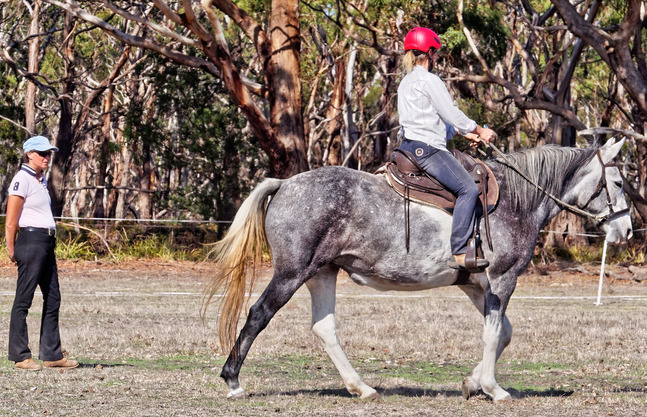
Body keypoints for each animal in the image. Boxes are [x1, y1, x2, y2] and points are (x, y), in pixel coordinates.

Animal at [206, 138, 632, 402]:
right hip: (292, 273)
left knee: (324, 328)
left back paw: (361, 387)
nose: (626, 230)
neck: (516, 199)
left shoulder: (476, 285)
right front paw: (494, 388)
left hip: (322, 272)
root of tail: (285, 183)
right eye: (617, 181)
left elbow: (503, 333)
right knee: (258, 315)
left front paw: (472, 382)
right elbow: (494, 334)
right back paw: (233, 380)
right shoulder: (502, 278)